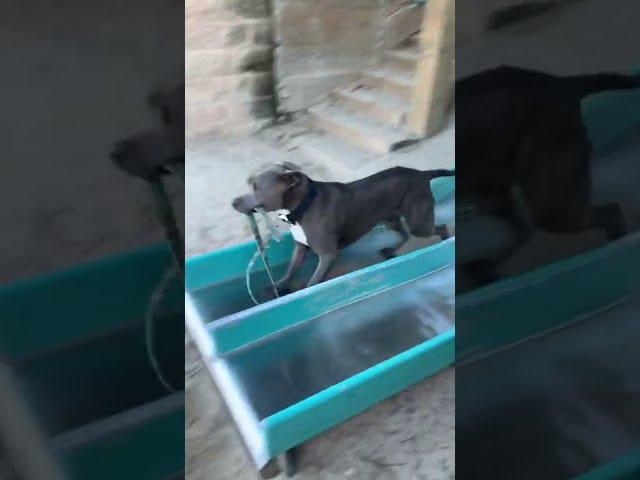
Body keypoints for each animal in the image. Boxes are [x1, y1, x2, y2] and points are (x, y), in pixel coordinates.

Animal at [232, 164, 452, 292]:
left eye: (256, 187)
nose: (233, 202)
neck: (302, 206)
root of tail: (422, 174)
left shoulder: (328, 254)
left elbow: (313, 282)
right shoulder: (301, 246)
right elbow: (291, 269)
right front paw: (279, 286)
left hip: (419, 223)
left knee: (439, 227)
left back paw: (446, 241)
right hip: (391, 218)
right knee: (405, 234)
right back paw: (390, 251)